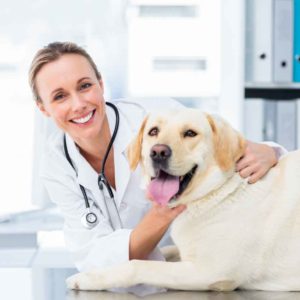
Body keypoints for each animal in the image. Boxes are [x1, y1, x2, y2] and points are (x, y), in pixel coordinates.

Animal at [67, 107, 300, 290]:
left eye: (190, 133)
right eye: (153, 131)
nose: (158, 152)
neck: (217, 192)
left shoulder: (210, 272)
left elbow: (137, 265)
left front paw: (86, 278)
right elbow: (161, 251)